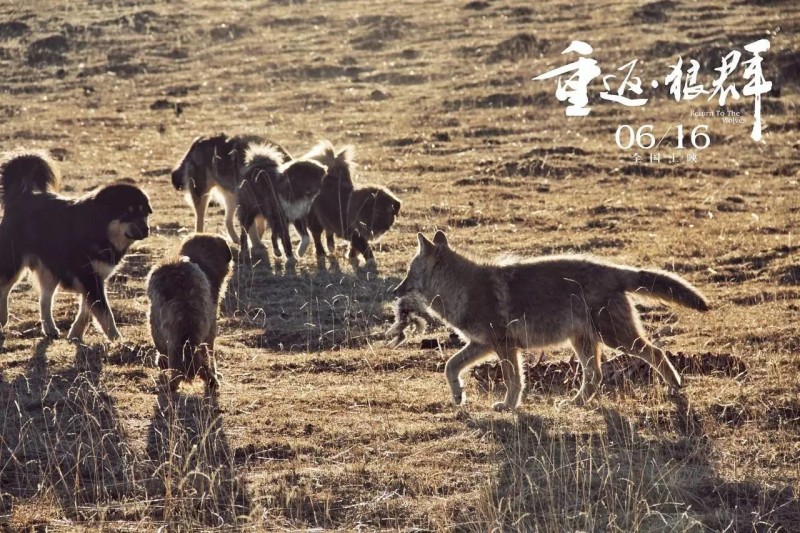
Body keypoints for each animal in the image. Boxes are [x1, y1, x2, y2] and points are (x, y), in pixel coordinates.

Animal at [0, 150, 152, 340]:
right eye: (127, 213)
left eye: (144, 212)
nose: (147, 230)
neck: (98, 229)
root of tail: (20, 195)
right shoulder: (89, 277)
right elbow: (105, 313)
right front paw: (117, 340)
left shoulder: (95, 278)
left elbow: (87, 311)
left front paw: (75, 334)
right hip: (13, 263)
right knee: (4, 288)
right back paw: (3, 319)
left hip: (50, 270)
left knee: (44, 299)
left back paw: (50, 329)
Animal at [390, 231, 708, 410]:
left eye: (408, 272)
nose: (394, 291)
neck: (461, 288)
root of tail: (614, 269)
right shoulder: (483, 345)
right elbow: (450, 366)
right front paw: (459, 397)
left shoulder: (504, 347)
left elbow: (513, 380)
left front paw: (508, 406)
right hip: (584, 343)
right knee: (595, 376)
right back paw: (574, 403)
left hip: (616, 340)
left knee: (656, 353)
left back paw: (675, 387)